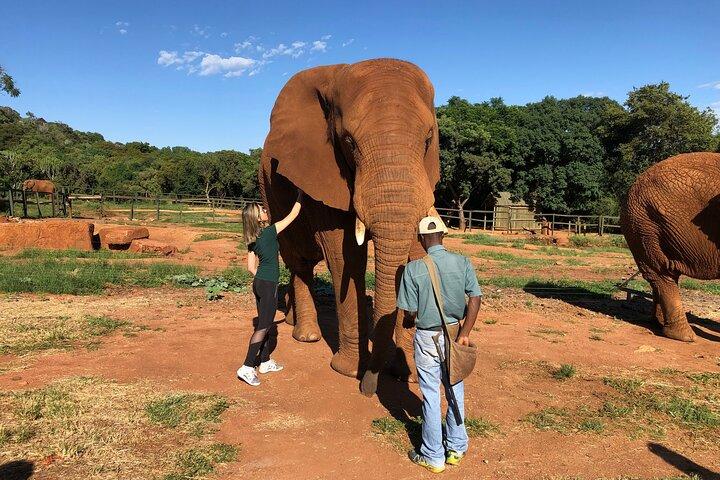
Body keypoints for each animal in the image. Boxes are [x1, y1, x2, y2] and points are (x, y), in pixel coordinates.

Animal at [259, 58, 440, 395]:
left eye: (427, 141)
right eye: (349, 142)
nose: (368, 388)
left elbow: (414, 250)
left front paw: (406, 374)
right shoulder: (323, 169)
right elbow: (345, 257)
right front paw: (350, 371)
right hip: (268, 192)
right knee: (298, 260)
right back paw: (306, 335)